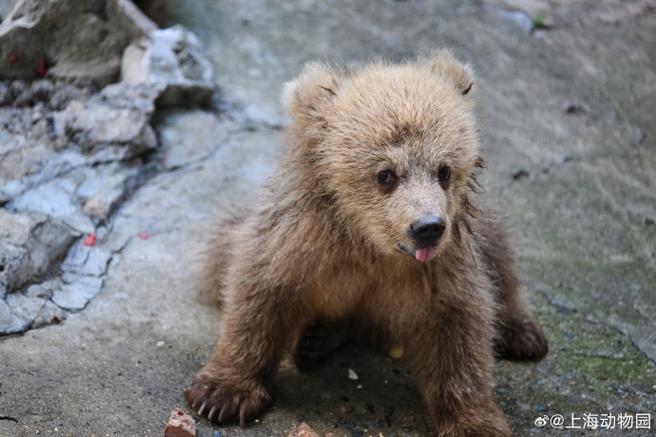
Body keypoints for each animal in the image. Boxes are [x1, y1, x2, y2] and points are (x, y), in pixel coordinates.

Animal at [185, 50, 548, 436]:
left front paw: (475, 422)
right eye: (385, 174)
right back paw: (315, 340)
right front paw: (221, 394)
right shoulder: (296, 241)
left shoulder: (443, 266)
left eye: (444, 170)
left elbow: (459, 328)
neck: (369, 246)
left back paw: (522, 334)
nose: (428, 227)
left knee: (500, 258)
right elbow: (259, 291)